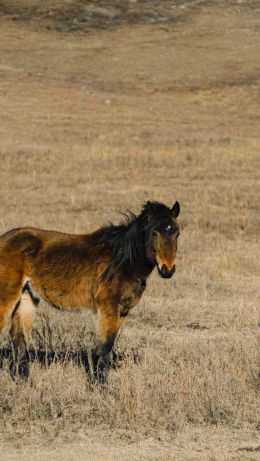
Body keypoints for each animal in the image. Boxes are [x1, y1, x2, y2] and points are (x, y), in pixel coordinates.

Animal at [0, 199, 180, 382]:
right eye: (154, 233)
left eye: (177, 233)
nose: (168, 270)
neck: (122, 261)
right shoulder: (108, 308)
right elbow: (104, 348)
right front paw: (100, 386)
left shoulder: (122, 311)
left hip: (27, 295)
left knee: (19, 337)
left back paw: (24, 381)